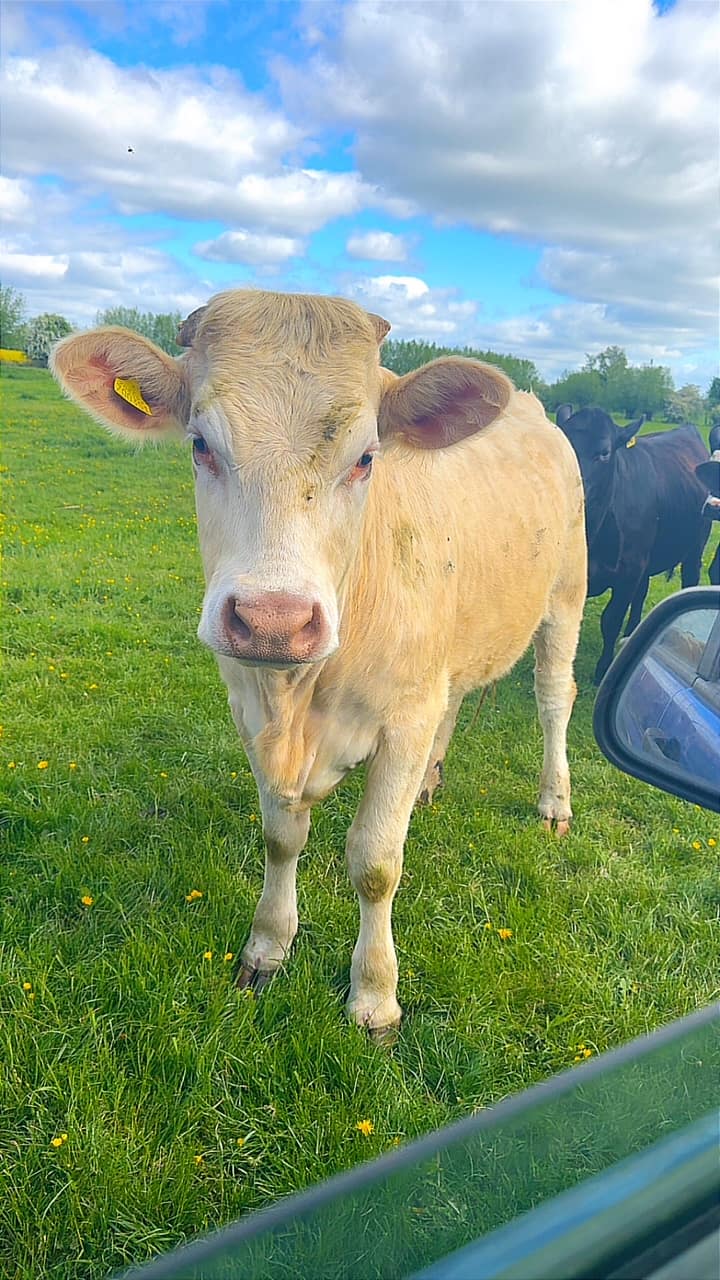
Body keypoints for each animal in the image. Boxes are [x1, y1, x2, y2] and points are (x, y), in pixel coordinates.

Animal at [52, 290, 587, 1042]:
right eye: (200, 444)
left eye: (366, 457)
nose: (274, 618)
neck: (297, 703)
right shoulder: (250, 706)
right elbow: (280, 838)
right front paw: (267, 948)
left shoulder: (403, 721)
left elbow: (376, 863)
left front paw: (375, 996)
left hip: (566, 593)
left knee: (553, 696)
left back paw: (553, 802)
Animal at [556, 404, 711, 684]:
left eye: (604, 453)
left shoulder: (629, 572)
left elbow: (611, 619)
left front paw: (602, 671)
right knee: (642, 594)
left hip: (694, 549)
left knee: (689, 579)